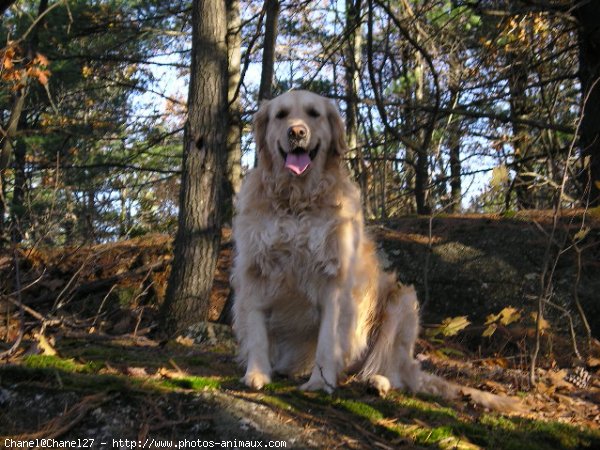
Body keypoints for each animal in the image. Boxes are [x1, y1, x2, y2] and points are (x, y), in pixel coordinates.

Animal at [232, 90, 524, 412]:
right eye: (281, 115)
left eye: (313, 114)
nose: (297, 132)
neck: (297, 201)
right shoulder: (254, 271)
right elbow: (256, 331)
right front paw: (257, 373)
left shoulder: (335, 281)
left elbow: (327, 342)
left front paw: (321, 382)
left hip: (402, 302)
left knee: (393, 372)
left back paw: (377, 381)